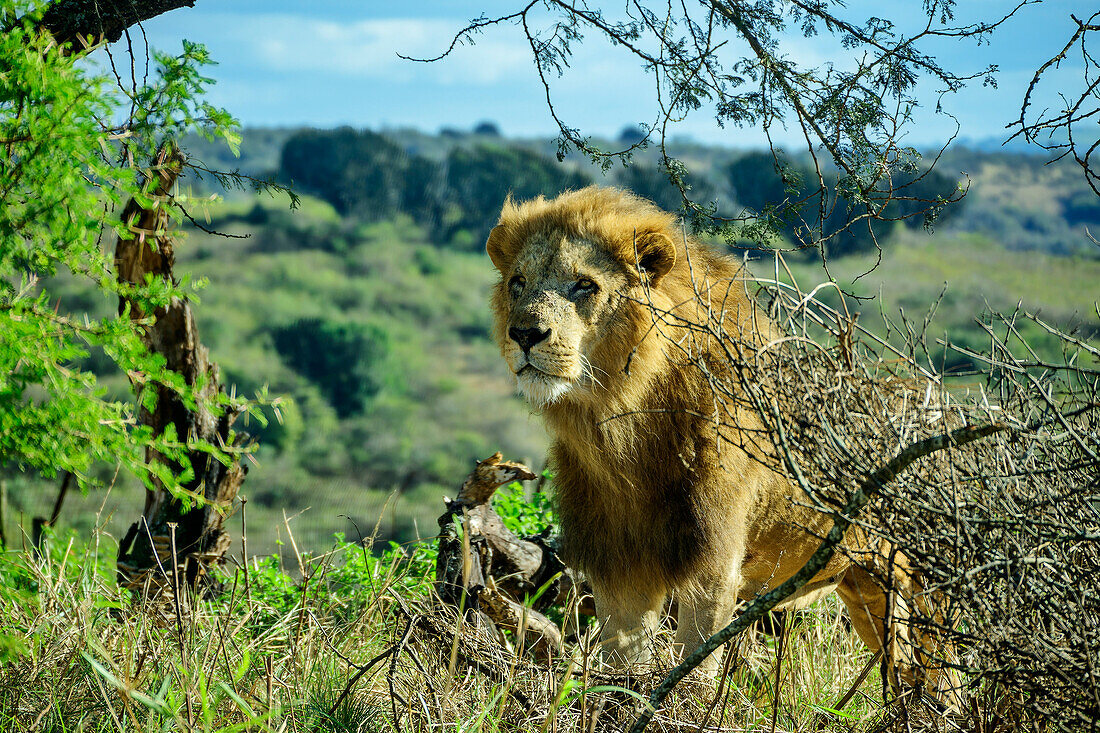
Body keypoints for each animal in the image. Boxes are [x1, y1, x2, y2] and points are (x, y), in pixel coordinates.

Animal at [486, 182, 959, 695]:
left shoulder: (715, 560)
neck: (621, 426)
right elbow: (624, 656)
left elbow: (695, 664)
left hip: (933, 581)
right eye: (517, 282)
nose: (524, 334)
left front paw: (677, 704)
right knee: (904, 668)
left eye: (585, 285)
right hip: (867, 585)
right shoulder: (620, 559)